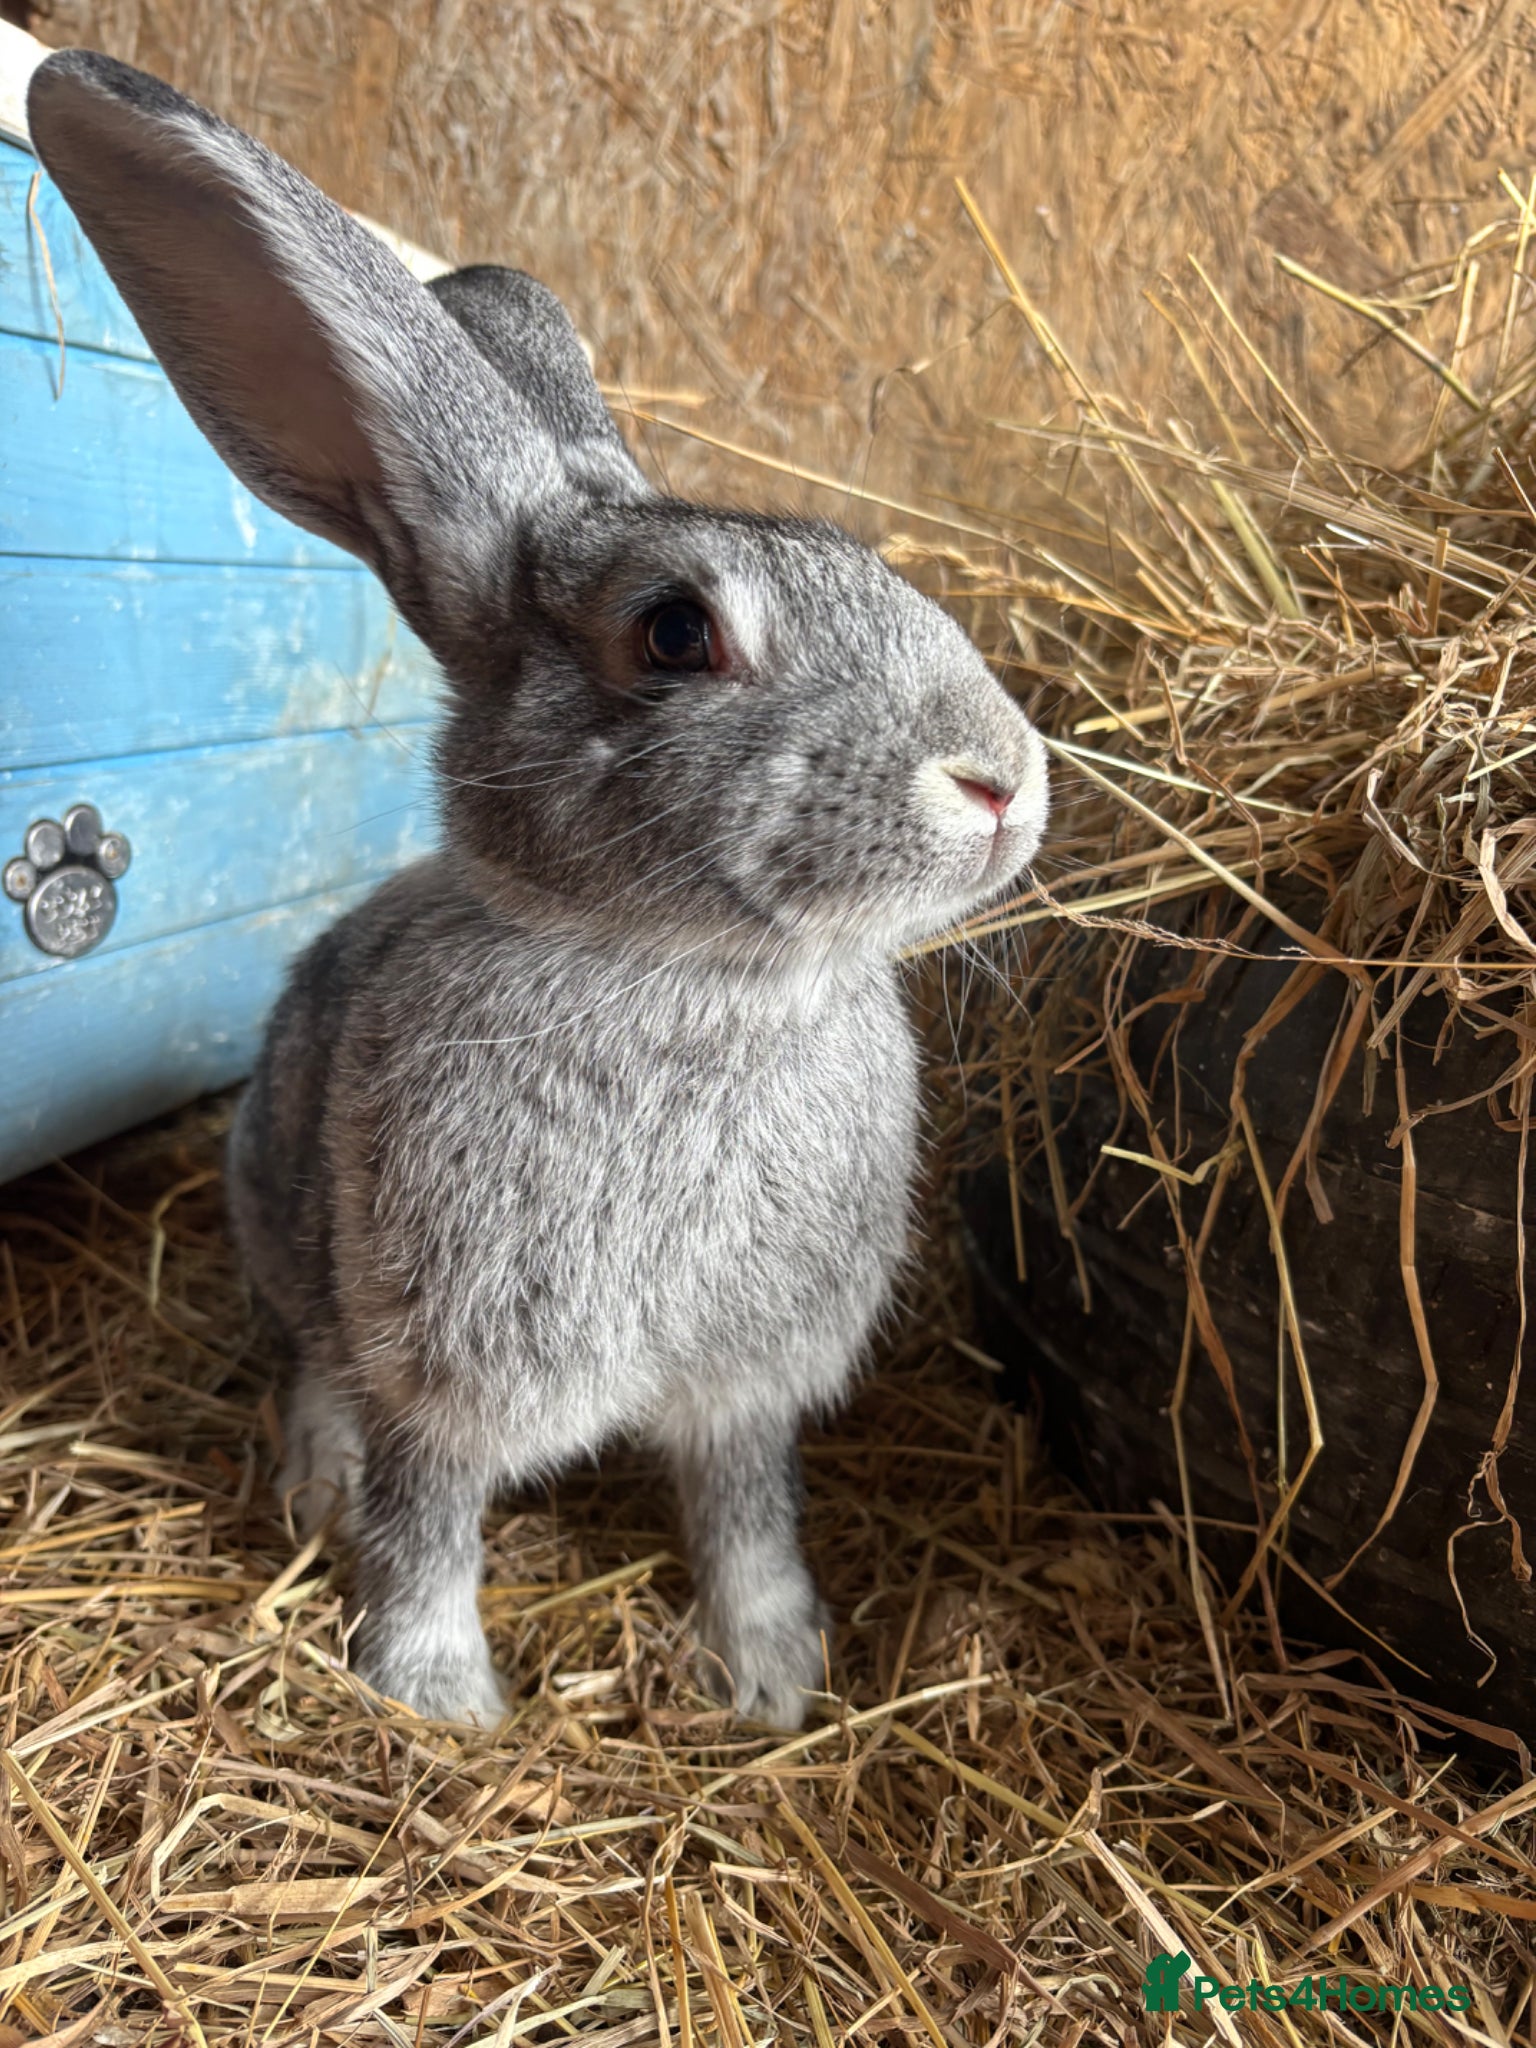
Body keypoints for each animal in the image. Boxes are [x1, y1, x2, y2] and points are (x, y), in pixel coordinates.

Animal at [27, 49, 1050, 1731]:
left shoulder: (746, 1385)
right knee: (311, 1363)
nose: (1002, 781)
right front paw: (431, 1696)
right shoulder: (444, 1351)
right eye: (675, 633)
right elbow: (429, 1513)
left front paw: (774, 1677)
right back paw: (312, 1484)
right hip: (287, 1218)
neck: (690, 982)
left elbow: (746, 1512)